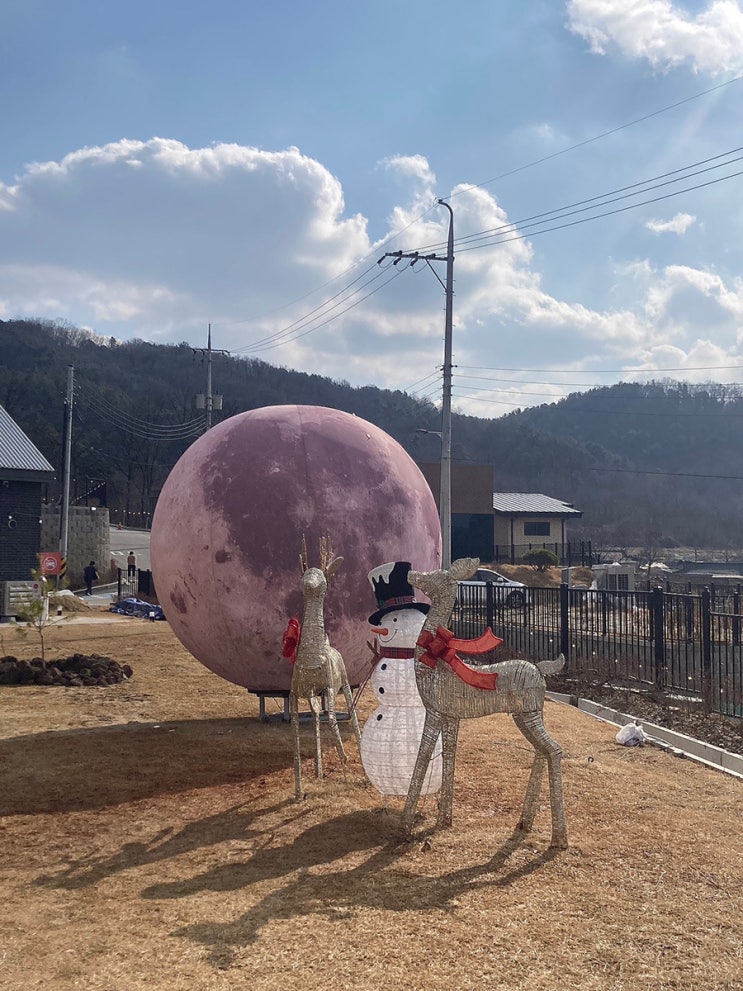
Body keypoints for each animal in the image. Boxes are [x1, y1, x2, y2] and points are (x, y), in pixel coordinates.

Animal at [290, 540, 362, 804]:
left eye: (323, 578)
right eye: (304, 574)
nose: (310, 583)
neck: (312, 656)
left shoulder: (330, 687)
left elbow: (332, 719)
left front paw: (347, 766)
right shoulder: (296, 694)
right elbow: (297, 732)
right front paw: (299, 792)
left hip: (344, 684)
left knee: (349, 715)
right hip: (314, 694)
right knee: (316, 716)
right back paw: (319, 771)